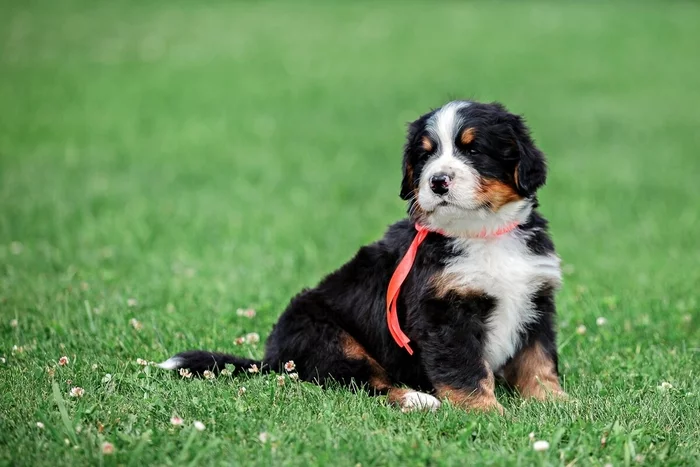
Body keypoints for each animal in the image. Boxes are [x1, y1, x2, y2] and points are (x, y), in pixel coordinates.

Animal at [161, 101, 568, 414]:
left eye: (473, 150)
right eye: (425, 155)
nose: (437, 181)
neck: (482, 233)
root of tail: (272, 357)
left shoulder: (535, 300)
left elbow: (537, 362)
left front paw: (556, 403)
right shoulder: (444, 313)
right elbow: (465, 369)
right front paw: (487, 412)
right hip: (330, 338)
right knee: (364, 383)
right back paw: (417, 399)